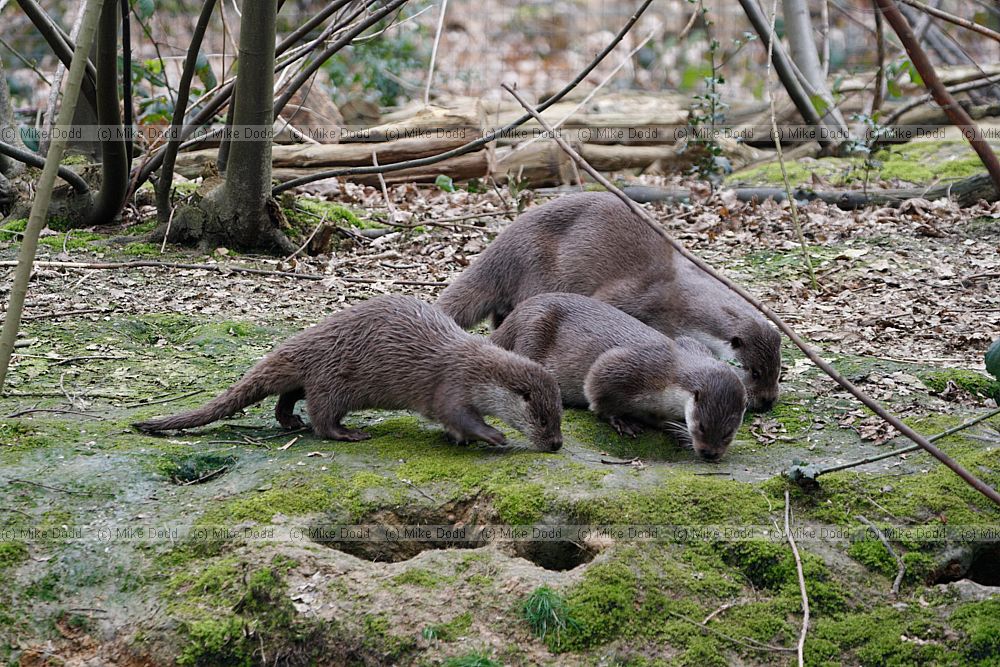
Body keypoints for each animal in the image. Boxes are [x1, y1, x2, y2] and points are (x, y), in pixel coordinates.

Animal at [134, 295, 564, 451]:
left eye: (560, 417)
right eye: (542, 420)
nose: (557, 444)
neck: (476, 368)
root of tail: (306, 340)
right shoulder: (452, 385)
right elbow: (457, 416)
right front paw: (493, 436)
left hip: (319, 376)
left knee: (291, 394)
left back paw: (289, 421)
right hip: (336, 381)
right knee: (322, 417)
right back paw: (348, 432)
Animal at [436, 191, 781, 411]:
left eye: (777, 371)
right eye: (754, 372)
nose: (768, 401)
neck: (677, 300)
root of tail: (501, 246)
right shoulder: (631, 295)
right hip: (538, 272)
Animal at [490, 293, 747, 460]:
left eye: (728, 433)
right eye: (701, 426)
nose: (710, 453)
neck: (668, 381)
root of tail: (516, 314)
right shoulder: (629, 366)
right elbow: (598, 393)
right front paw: (622, 421)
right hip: (532, 331)